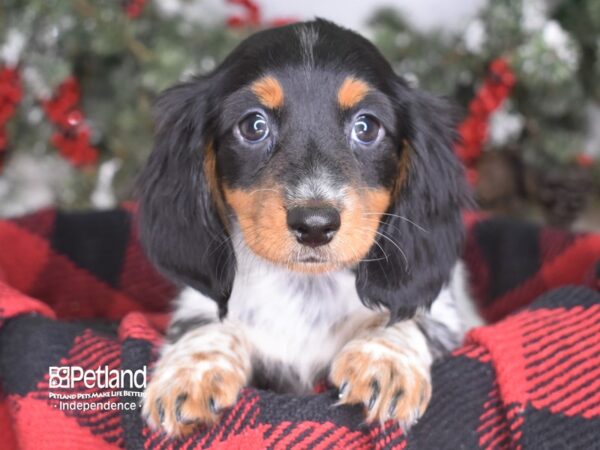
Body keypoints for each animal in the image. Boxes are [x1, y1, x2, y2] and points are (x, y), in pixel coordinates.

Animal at [137, 19, 468, 438]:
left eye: (367, 127)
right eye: (253, 125)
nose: (314, 224)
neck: (304, 287)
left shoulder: (446, 315)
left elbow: (406, 318)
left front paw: (385, 361)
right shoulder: (198, 305)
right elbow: (208, 325)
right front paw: (190, 373)